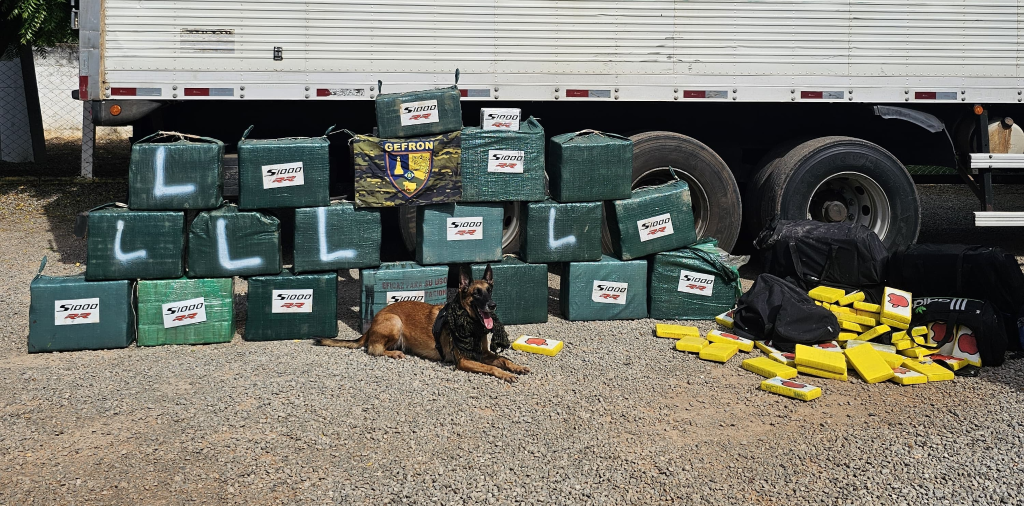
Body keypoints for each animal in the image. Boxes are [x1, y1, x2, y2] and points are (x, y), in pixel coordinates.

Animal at [314, 264, 530, 383]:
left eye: (489, 290)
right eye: (476, 293)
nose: (492, 305)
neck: (469, 323)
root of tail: (375, 320)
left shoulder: (482, 354)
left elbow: (503, 359)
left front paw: (516, 367)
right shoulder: (464, 361)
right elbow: (492, 368)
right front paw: (505, 374)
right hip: (395, 322)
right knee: (374, 349)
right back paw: (394, 353)